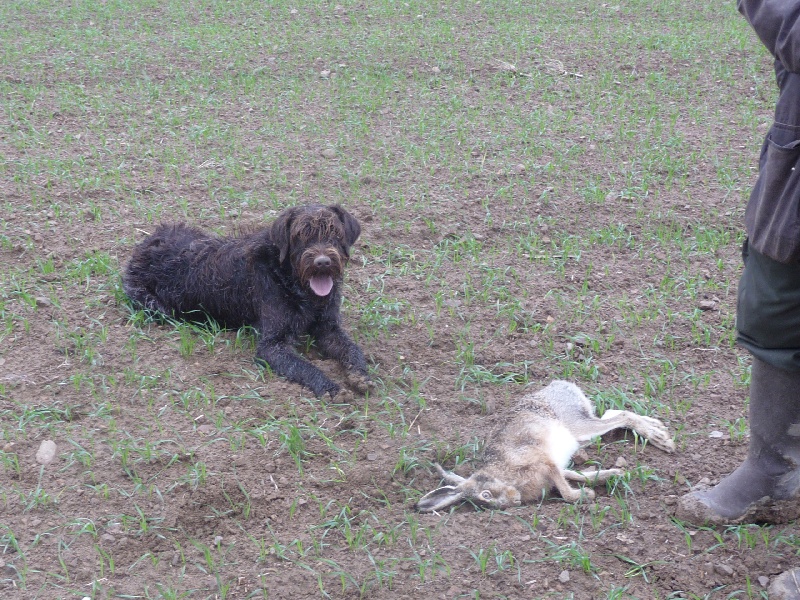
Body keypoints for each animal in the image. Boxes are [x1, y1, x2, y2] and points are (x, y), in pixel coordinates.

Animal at [122, 205, 372, 398]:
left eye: (335, 233)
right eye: (300, 236)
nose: (322, 262)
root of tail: (144, 245)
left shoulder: (329, 327)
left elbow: (352, 348)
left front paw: (361, 375)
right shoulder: (272, 345)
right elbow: (304, 366)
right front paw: (329, 387)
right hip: (153, 305)